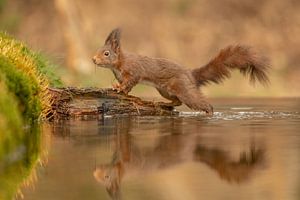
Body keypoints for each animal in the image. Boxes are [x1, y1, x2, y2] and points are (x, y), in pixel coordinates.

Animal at [92, 28, 270, 114]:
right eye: (98, 50)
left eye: (106, 53)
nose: (93, 59)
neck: (118, 64)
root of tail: (190, 74)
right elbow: (127, 86)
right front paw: (119, 87)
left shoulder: (134, 70)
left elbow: (130, 82)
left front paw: (119, 88)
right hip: (164, 90)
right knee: (177, 102)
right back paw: (163, 104)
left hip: (183, 89)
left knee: (201, 104)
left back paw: (209, 113)